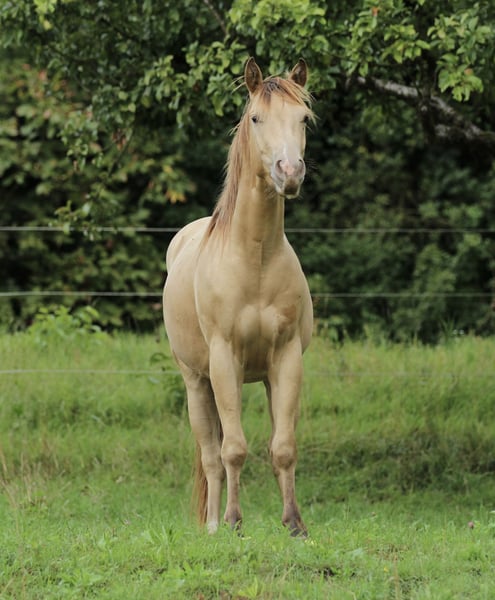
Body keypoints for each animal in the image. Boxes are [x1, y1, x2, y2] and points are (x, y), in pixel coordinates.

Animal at [163, 58, 314, 536]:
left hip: (259, 377)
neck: (255, 260)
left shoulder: (287, 358)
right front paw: (232, 521)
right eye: (255, 118)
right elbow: (232, 449)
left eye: (303, 119)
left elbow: (283, 446)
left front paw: (294, 524)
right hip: (197, 381)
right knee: (212, 456)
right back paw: (212, 525)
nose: (290, 171)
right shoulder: (224, 359)